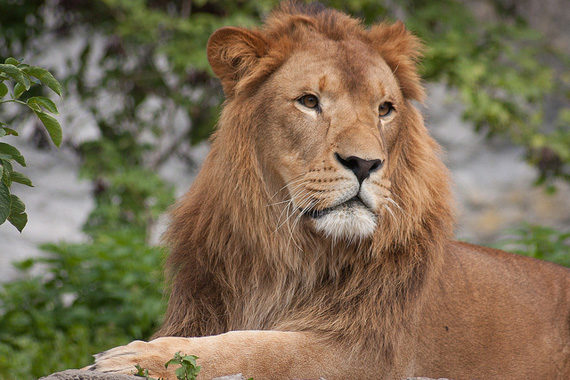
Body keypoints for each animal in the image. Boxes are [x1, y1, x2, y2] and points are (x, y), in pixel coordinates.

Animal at [90, 2, 568, 380]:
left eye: (385, 109)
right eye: (309, 101)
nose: (365, 164)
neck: (284, 258)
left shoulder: (366, 354)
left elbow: (259, 348)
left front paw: (137, 357)